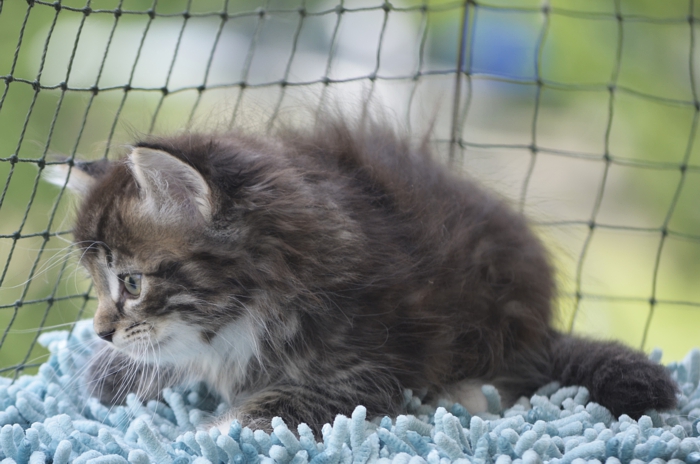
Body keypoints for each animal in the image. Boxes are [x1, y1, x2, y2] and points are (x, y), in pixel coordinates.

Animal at [46, 116, 677, 434]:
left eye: (132, 283)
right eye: (97, 284)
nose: (102, 331)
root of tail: (539, 328)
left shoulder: (370, 370)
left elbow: (268, 407)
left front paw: (206, 432)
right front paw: (109, 369)